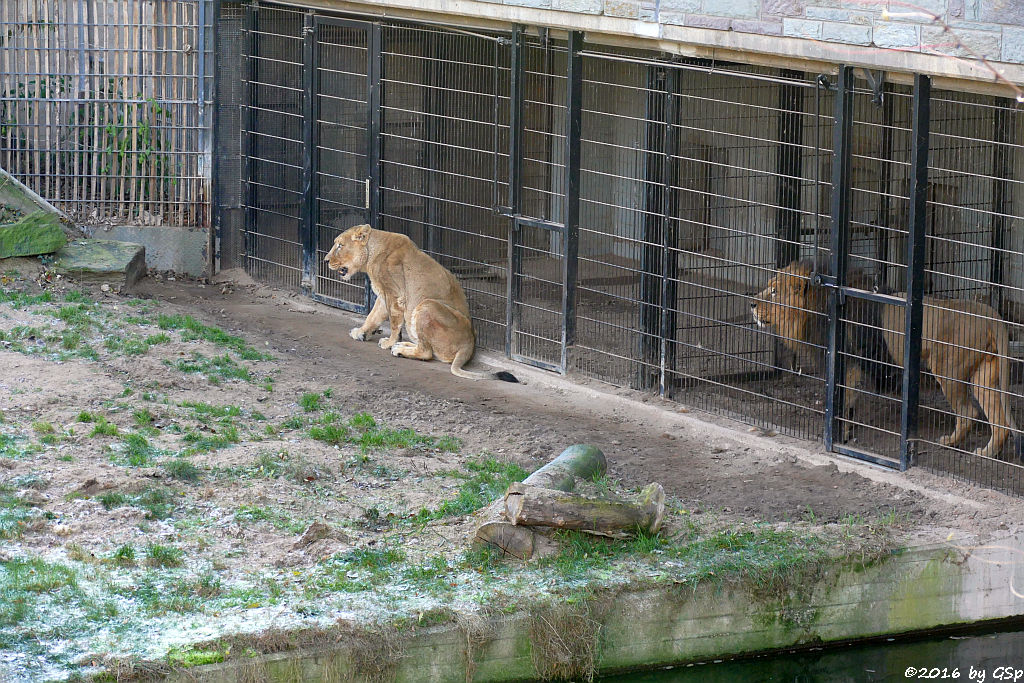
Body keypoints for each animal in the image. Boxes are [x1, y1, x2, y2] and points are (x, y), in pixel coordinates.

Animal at [327, 225, 516, 382]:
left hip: (426, 305)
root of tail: (469, 345)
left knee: (426, 352)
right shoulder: (383, 295)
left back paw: (398, 349)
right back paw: (403, 345)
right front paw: (362, 332)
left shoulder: (395, 295)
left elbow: (393, 322)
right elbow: (372, 316)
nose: (325, 260)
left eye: (340, 245)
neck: (371, 254)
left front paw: (389, 341)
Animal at [749, 262, 1019, 458]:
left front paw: (839, 434)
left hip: (948, 371)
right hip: (984, 376)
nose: (751, 303)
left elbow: (842, 402)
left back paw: (952, 443)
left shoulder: (848, 364)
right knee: (1000, 422)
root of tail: (988, 314)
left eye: (774, 291)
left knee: (968, 412)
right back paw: (987, 453)